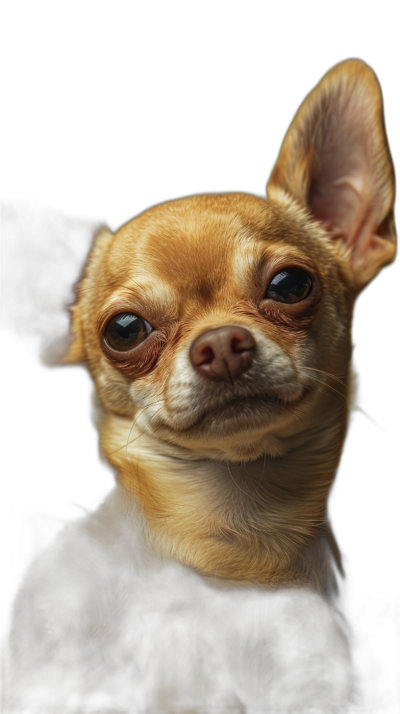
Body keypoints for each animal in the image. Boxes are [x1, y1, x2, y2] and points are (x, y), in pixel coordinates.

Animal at [0, 59, 396, 712]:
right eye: (125, 329)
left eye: (291, 285)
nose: (222, 345)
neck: (223, 540)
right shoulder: (34, 665)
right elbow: (168, 627)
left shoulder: (307, 666)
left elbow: (180, 630)